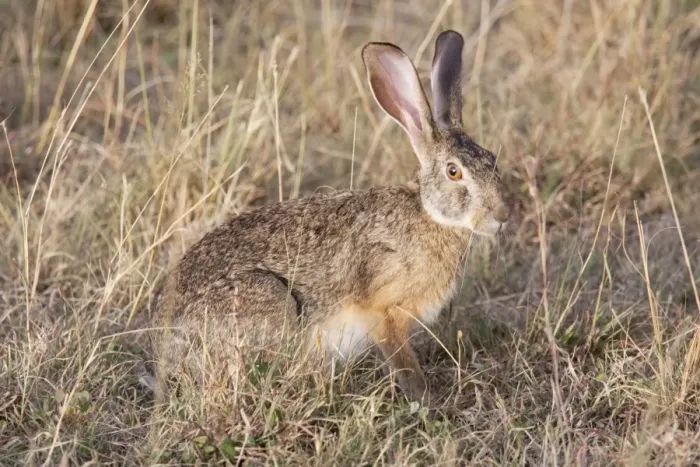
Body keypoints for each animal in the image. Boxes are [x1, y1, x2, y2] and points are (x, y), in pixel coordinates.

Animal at [149, 30, 509, 406]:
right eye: (454, 172)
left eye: (492, 159)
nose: (502, 215)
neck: (431, 216)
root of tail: (163, 351)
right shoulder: (385, 311)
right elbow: (402, 361)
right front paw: (424, 399)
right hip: (268, 299)